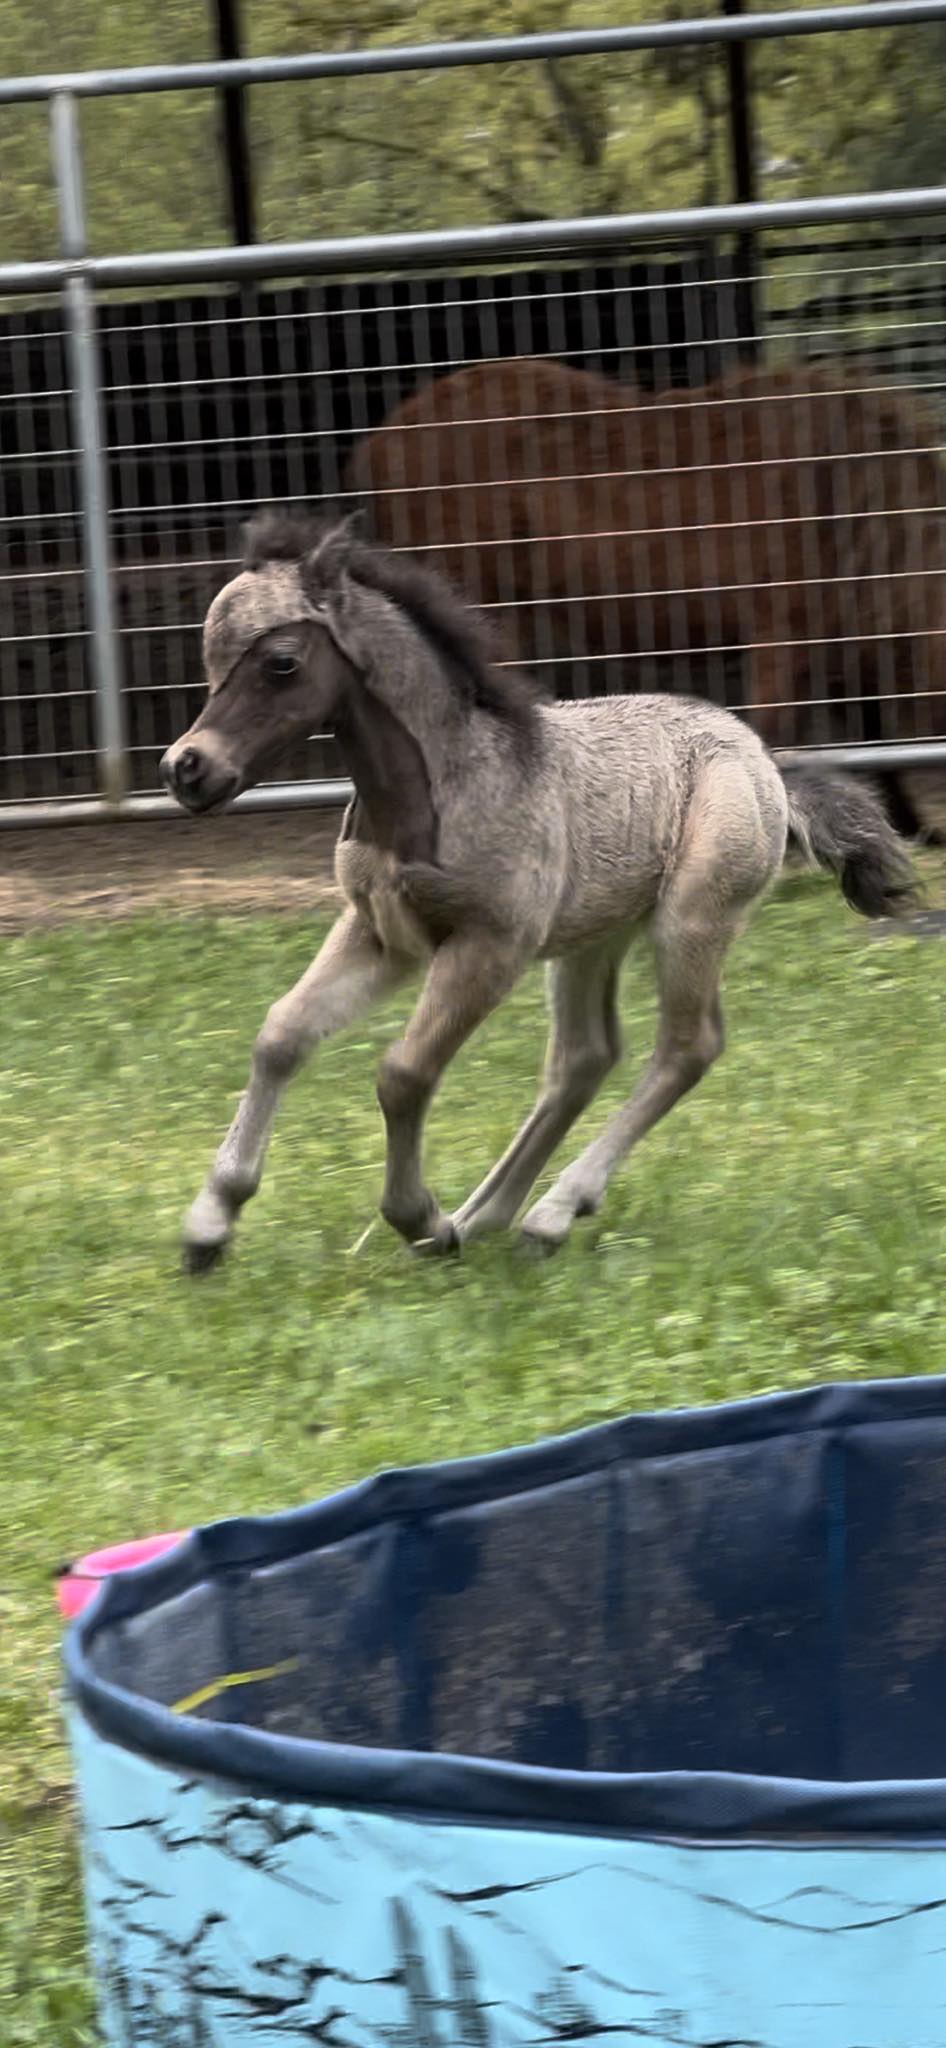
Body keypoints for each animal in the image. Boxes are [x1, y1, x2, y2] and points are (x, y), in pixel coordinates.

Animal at [159, 511, 914, 1269]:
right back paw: (486, 1217)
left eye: (280, 661)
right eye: (209, 657)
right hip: (592, 938)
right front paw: (210, 1224)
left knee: (686, 1047)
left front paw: (418, 1218)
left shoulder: (491, 946)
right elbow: (282, 1035)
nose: (186, 769)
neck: (441, 788)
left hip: (693, 920)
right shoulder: (380, 934)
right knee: (585, 1058)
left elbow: (404, 1073)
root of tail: (768, 767)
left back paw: (549, 1211)